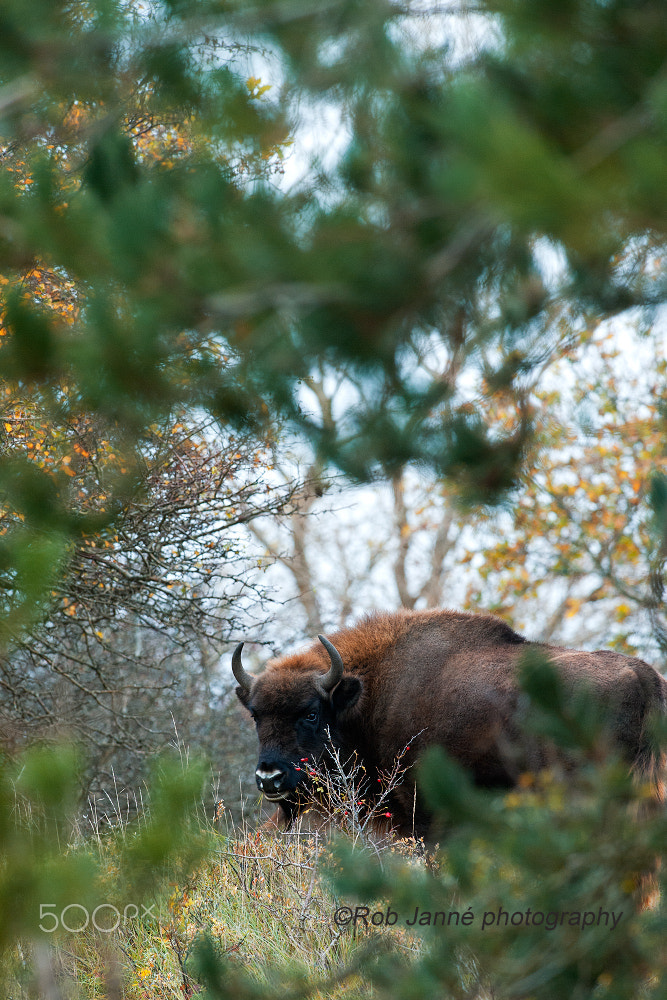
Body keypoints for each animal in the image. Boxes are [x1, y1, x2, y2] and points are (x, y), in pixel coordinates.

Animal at [232, 608, 664, 836]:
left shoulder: (423, 814)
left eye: (311, 712)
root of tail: (644, 675)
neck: (370, 695)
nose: (269, 777)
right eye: (255, 714)